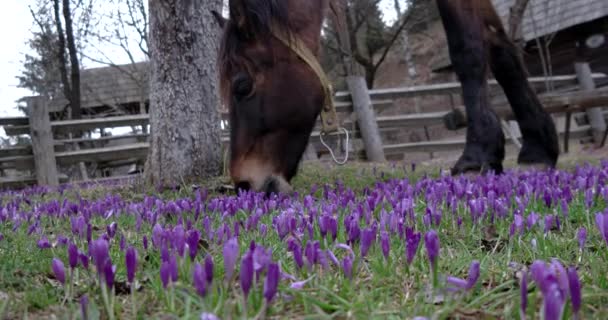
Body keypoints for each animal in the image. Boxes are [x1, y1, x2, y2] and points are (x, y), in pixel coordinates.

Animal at [211, 0, 560, 194]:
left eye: (242, 86)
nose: (244, 184)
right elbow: (501, 49)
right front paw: (538, 149)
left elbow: (467, 46)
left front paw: (477, 155)